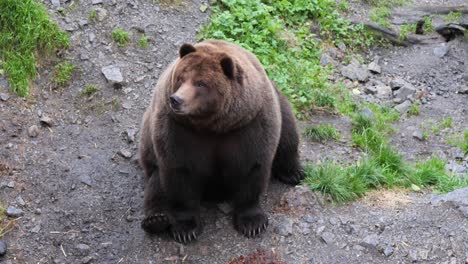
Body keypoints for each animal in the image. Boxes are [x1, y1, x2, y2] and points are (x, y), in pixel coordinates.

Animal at [139, 39, 304, 243]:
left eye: (200, 83)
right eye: (181, 78)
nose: (176, 99)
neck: (214, 125)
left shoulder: (250, 125)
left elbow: (251, 168)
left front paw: (252, 222)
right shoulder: (178, 130)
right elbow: (180, 174)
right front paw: (186, 228)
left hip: (278, 103)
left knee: (288, 134)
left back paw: (293, 173)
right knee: (156, 184)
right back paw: (156, 220)